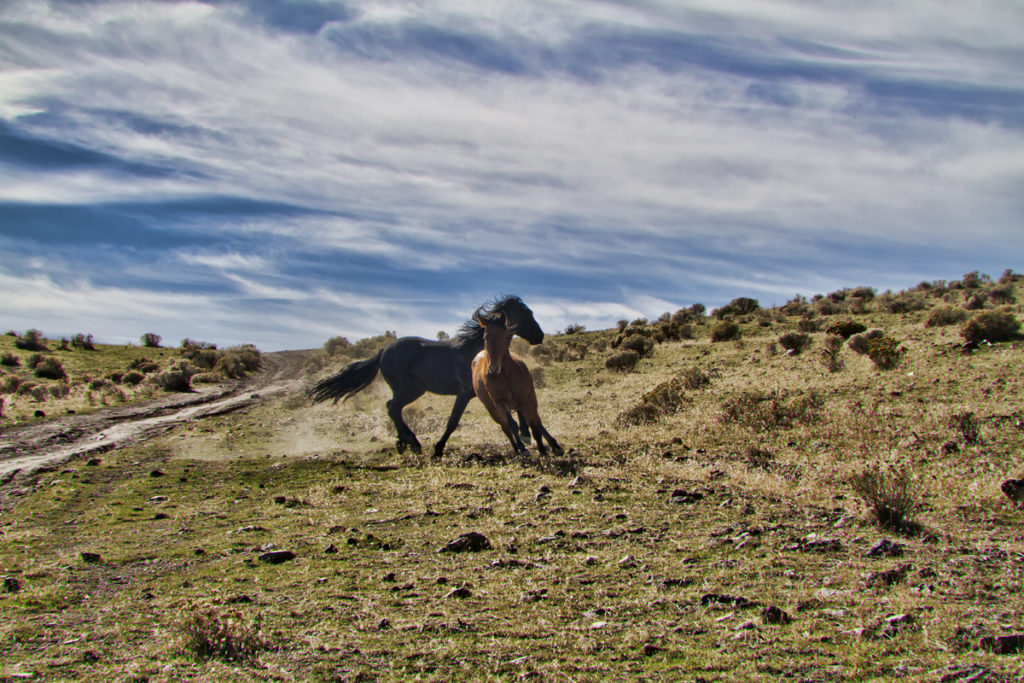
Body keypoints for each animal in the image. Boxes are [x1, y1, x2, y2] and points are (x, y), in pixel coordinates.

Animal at [305, 294, 540, 458]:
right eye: (528, 314)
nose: (540, 336)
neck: (476, 351)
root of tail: (383, 352)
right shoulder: (466, 393)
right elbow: (453, 422)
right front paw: (438, 449)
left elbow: (517, 411)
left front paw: (526, 436)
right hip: (407, 389)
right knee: (392, 407)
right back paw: (412, 442)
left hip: (414, 390)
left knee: (393, 408)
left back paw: (406, 442)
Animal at [473, 313, 565, 456]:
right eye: (485, 337)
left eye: (506, 336)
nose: (493, 368)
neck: (506, 375)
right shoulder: (499, 403)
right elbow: (512, 425)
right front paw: (524, 448)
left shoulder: (527, 397)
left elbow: (535, 422)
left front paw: (544, 449)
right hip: (493, 410)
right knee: (505, 428)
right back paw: (517, 448)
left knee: (534, 420)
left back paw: (552, 444)